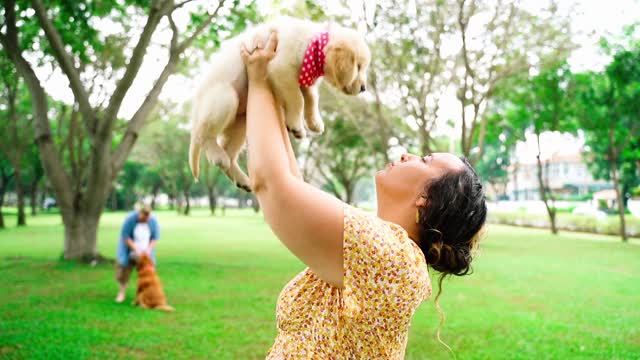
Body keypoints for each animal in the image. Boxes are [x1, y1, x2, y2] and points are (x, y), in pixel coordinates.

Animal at [188, 16, 372, 191]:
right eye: (358, 66)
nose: (364, 88)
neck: (311, 43)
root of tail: (195, 109)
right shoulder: (281, 69)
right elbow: (298, 99)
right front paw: (296, 125)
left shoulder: (303, 78)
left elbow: (311, 98)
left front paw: (314, 123)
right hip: (226, 99)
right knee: (203, 135)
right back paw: (216, 155)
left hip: (242, 120)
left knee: (229, 153)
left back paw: (241, 179)